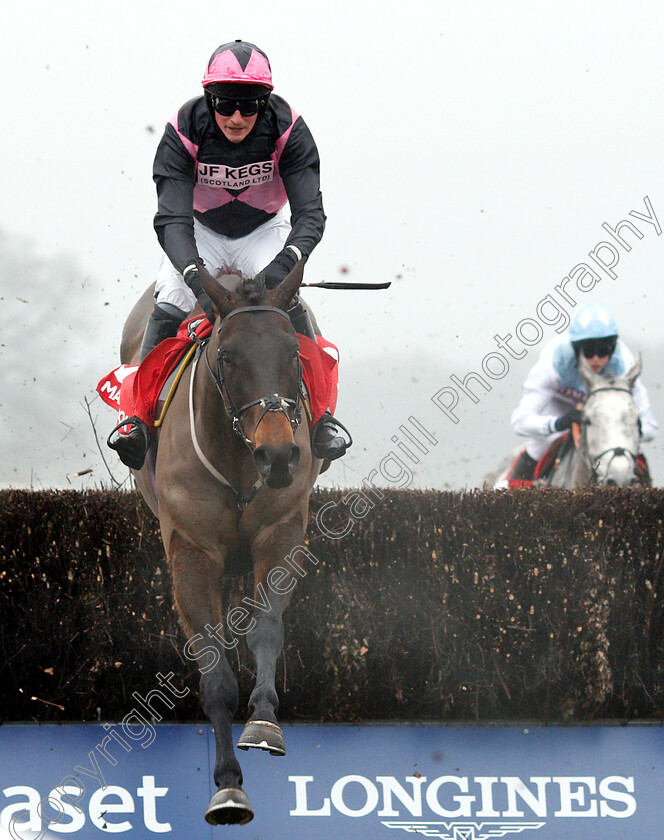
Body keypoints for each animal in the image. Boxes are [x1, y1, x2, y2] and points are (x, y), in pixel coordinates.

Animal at [122, 260, 324, 824]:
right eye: (228, 357)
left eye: (293, 352)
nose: (278, 455)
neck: (237, 456)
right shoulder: (192, 552)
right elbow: (214, 673)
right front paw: (228, 786)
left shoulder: (280, 533)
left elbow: (267, 629)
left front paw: (264, 721)